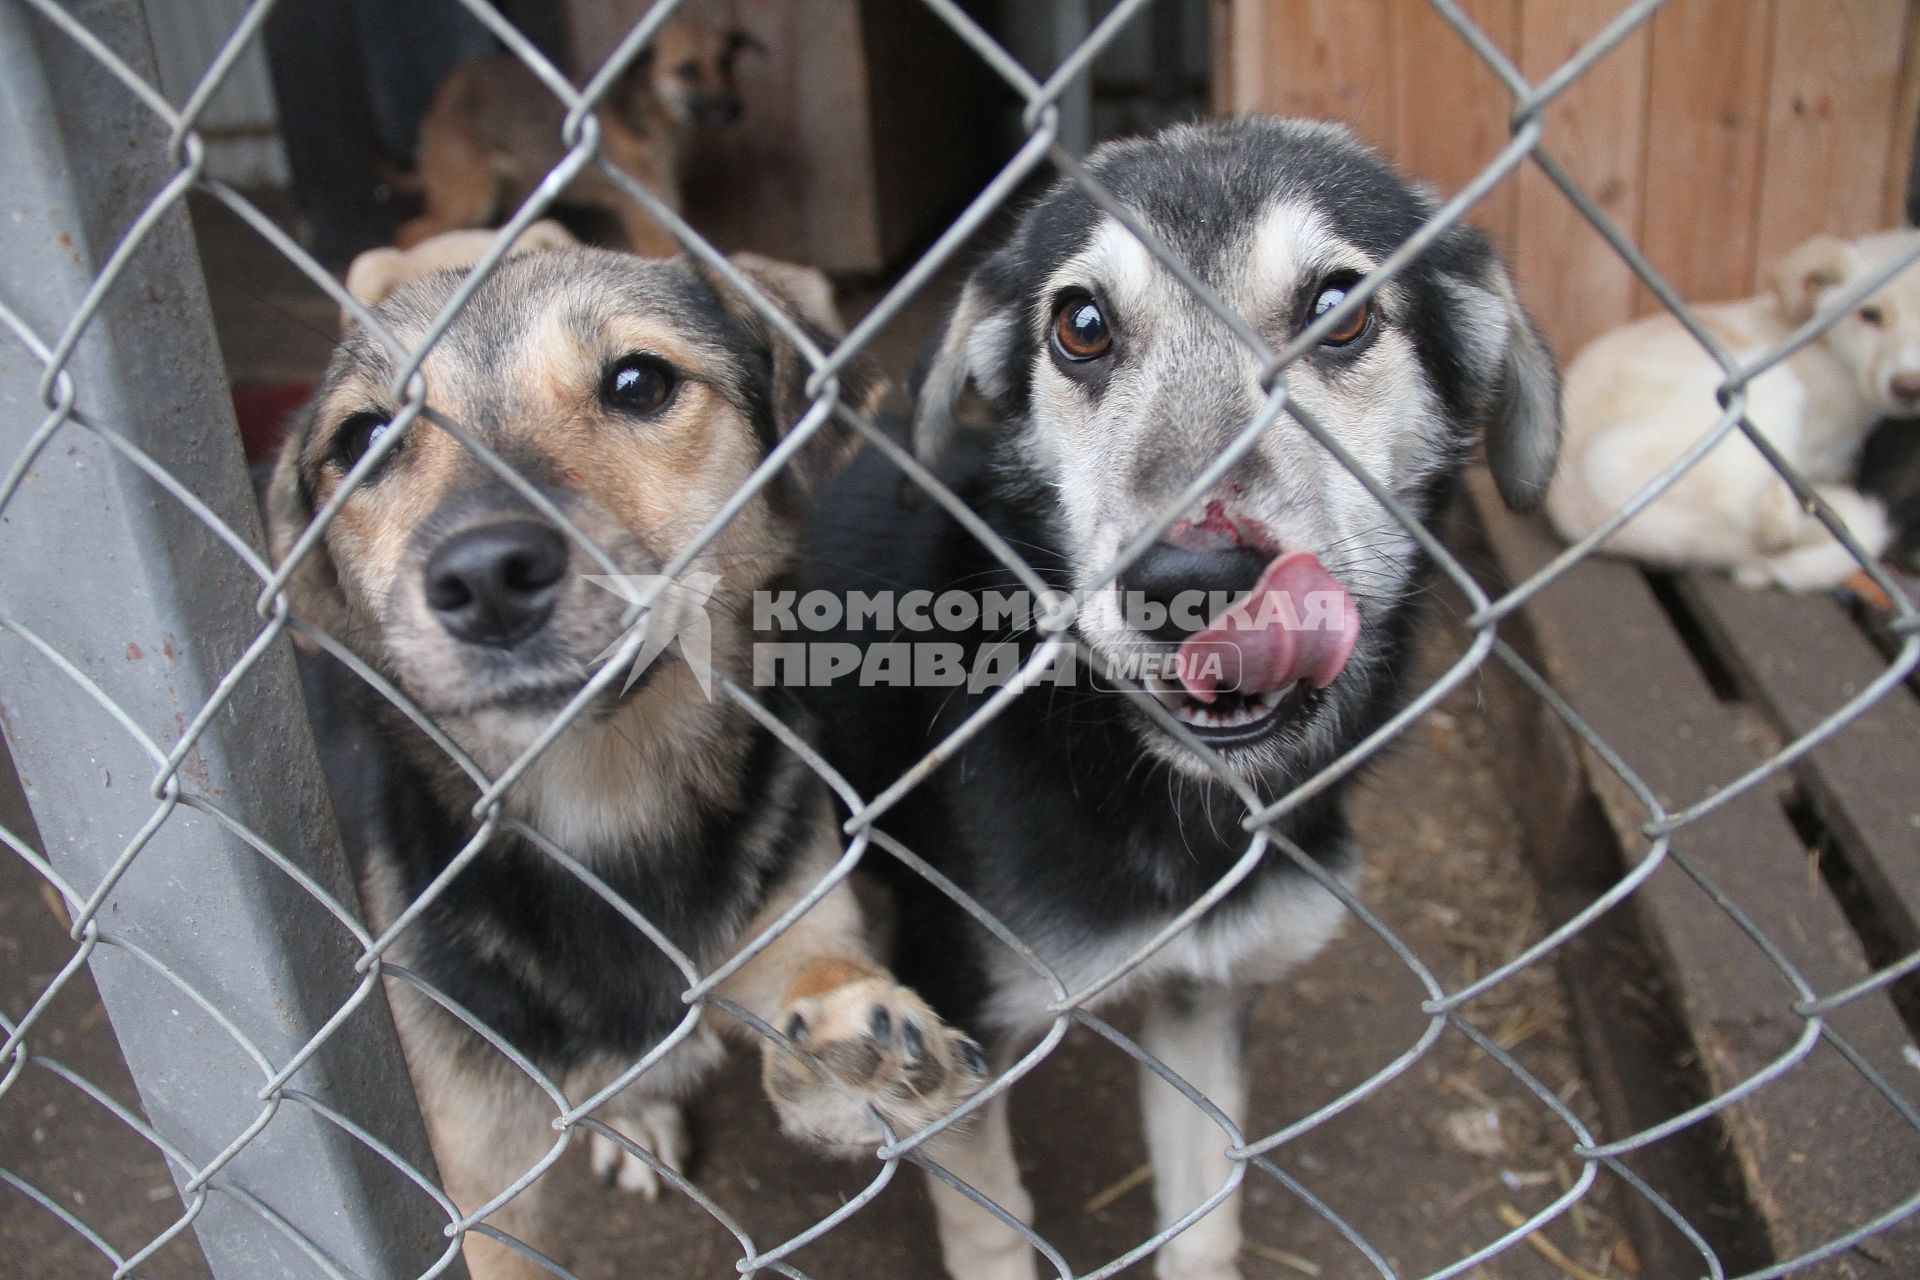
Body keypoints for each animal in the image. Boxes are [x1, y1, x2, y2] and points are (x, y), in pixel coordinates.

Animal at [268, 245, 983, 1274]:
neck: (604, 811)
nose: (484, 577)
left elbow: (821, 967)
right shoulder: (476, 1183)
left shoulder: (791, 904)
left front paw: (853, 1042)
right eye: (365, 438)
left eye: (639, 382)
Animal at [395, 14, 748, 255]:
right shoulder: (650, 226)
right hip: (471, 198)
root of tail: (441, 99)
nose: (735, 110)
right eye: (687, 70)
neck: (651, 115)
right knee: (410, 232)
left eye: (726, 62)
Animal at [794, 119, 1559, 1280]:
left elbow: (1207, 1220)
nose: (1189, 580)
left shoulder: (1207, 993)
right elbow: (991, 1229)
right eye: (1082, 324)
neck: (1152, 785)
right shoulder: (957, 1011)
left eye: (1341, 311)